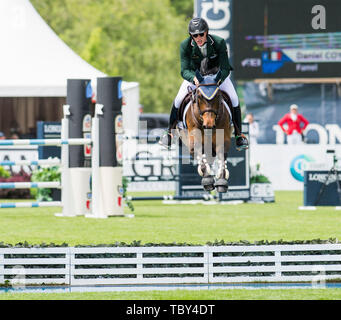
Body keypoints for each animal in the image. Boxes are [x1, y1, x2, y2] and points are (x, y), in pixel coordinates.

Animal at [175, 61, 231, 194]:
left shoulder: (222, 140)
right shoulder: (194, 140)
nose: (209, 124)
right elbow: (200, 157)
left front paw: (222, 181)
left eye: (218, 96)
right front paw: (207, 180)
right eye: (200, 96)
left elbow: (222, 157)